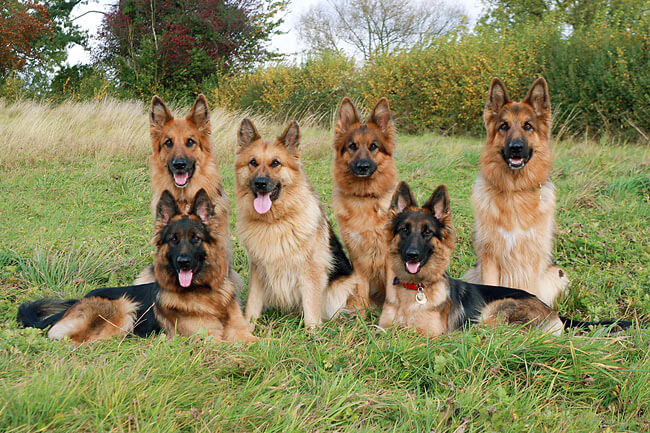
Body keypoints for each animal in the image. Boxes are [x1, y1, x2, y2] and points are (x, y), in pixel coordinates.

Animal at [17, 191, 256, 342]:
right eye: (173, 240)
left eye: (195, 238)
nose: (183, 262)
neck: (207, 296)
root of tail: (76, 302)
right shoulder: (208, 339)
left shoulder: (242, 332)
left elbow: (256, 342)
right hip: (124, 306)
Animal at [233, 118, 354, 328]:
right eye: (253, 162)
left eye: (275, 163)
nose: (260, 183)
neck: (274, 222)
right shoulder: (258, 270)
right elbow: (252, 303)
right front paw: (248, 326)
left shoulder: (311, 271)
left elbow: (311, 308)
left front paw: (313, 331)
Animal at [332, 98, 398, 314]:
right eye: (352, 146)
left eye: (373, 146)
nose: (362, 167)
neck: (365, 198)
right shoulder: (357, 255)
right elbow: (361, 288)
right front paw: (361, 314)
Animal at [374, 181, 560, 336]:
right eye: (404, 230)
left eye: (427, 232)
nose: (412, 255)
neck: (415, 287)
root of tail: (552, 312)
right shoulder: (383, 328)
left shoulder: (428, 334)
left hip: (493, 312)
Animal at [460, 78, 568, 308]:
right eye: (504, 126)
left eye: (528, 126)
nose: (516, 147)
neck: (515, 191)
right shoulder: (490, 257)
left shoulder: (531, 258)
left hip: (556, 274)